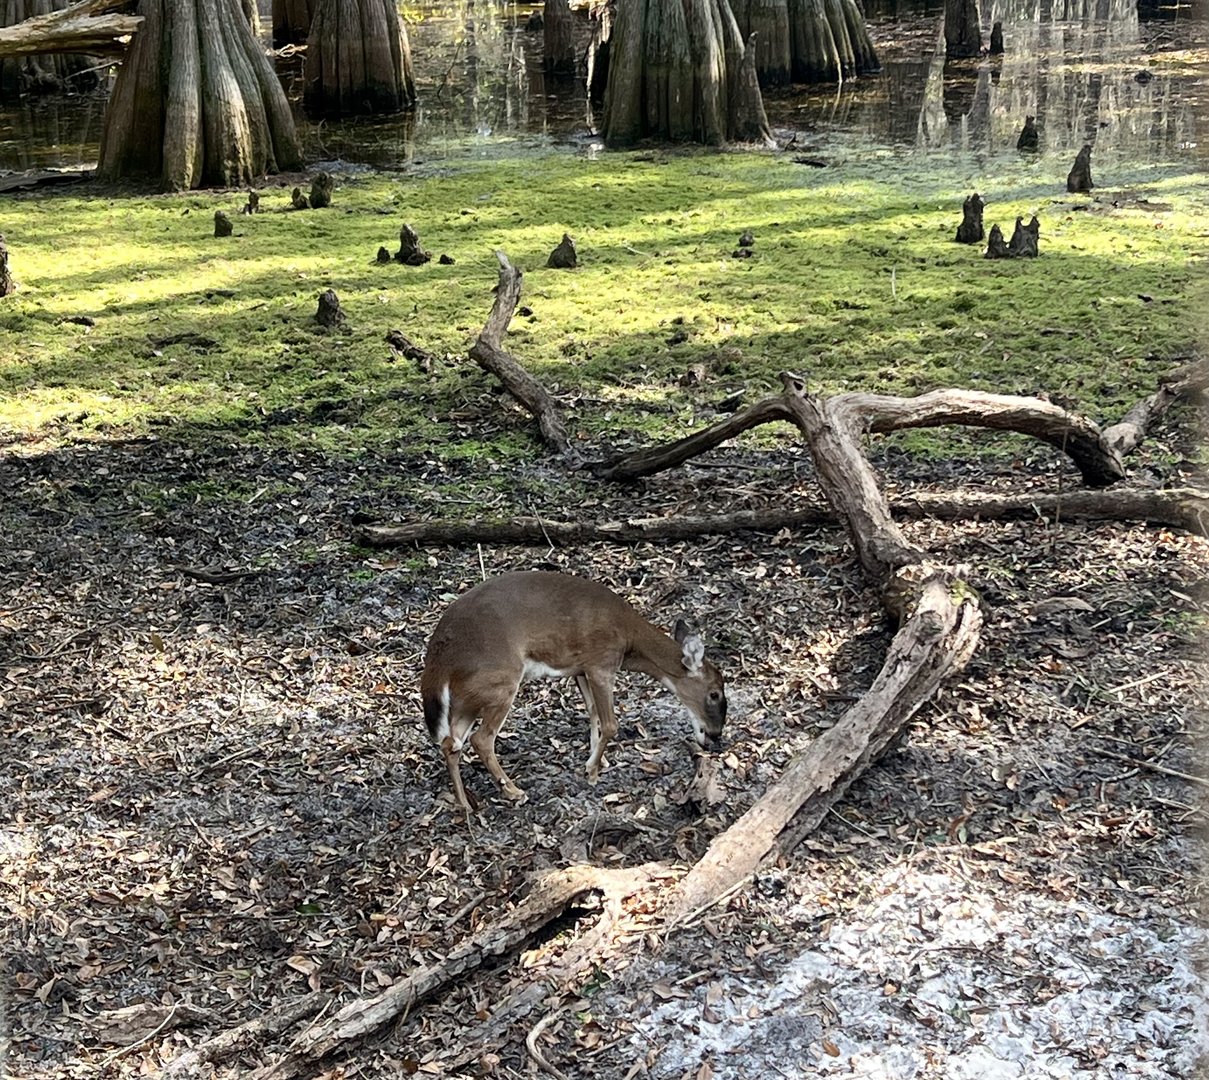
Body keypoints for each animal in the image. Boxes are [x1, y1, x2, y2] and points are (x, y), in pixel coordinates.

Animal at [420, 571, 727, 815]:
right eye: (715, 694)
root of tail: (439, 660)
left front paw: (595, 761)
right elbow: (610, 723)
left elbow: (592, 715)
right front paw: (592, 773)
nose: (715, 735)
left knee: (451, 743)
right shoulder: (601, 663)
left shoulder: (580, 669)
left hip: (466, 698)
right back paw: (514, 792)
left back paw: (464, 803)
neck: (630, 640)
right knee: (481, 739)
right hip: (501, 680)